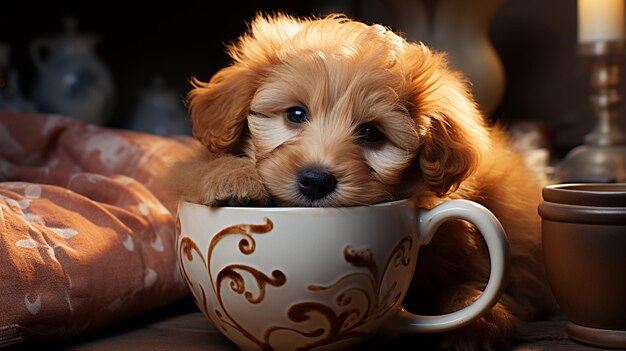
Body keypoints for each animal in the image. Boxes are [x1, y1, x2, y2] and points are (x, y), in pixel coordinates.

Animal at [163, 12, 552, 350]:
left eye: (371, 133)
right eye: (295, 114)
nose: (316, 181)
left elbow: (477, 281)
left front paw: (476, 321)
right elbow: (198, 166)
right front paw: (232, 179)